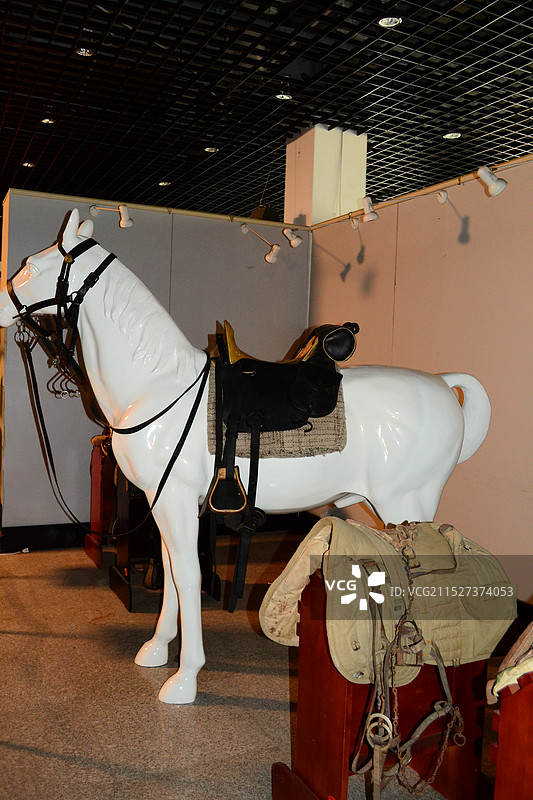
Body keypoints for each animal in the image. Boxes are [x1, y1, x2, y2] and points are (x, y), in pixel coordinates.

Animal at [0, 209, 491, 704]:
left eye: (32, 266)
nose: (1, 305)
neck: (159, 387)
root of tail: (443, 384)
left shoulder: (176, 501)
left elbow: (189, 576)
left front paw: (185, 679)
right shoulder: (164, 503)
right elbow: (172, 573)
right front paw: (158, 649)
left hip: (406, 505)